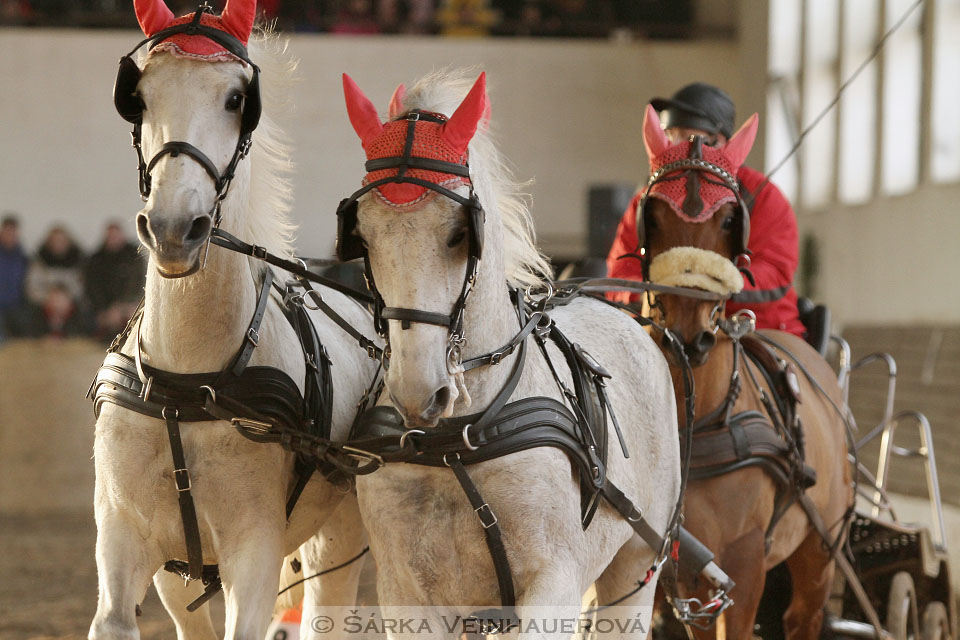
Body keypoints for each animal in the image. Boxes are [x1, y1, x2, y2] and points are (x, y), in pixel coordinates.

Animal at [89, 6, 376, 640]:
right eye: (139, 97)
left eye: (236, 98)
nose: (174, 229)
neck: (189, 382)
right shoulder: (130, 541)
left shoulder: (255, 548)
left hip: (340, 534)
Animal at [340, 69, 684, 636]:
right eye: (363, 238)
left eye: (460, 233)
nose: (418, 391)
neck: (457, 442)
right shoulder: (406, 595)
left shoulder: (553, 584)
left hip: (636, 568)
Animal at [632, 107, 852, 636]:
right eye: (653, 216)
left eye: (730, 218)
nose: (689, 336)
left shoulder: (743, 566)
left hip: (820, 548)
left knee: (802, 615)